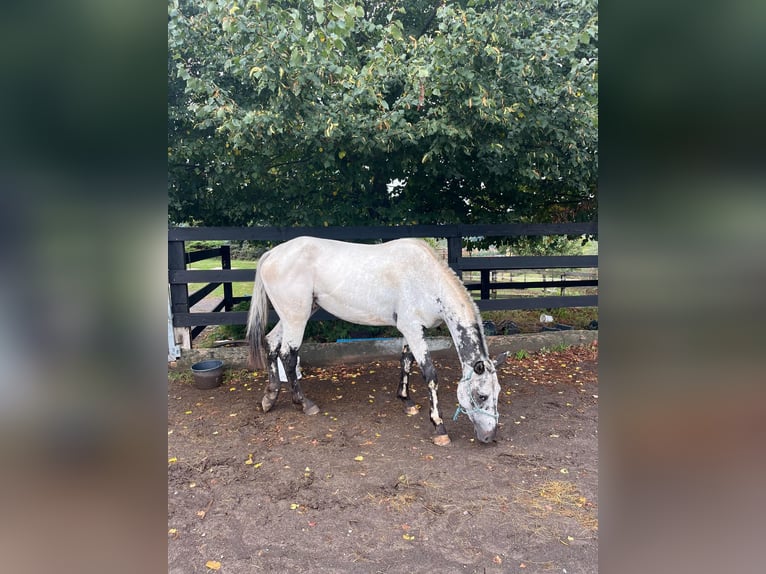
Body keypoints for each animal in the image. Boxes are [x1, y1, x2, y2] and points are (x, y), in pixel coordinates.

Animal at [248, 236, 510, 448]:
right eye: (482, 396)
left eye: (498, 392)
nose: (489, 437)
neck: (426, 278)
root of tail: (273, 254)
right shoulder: (412, 329)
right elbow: (429, 374)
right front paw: (439, 427)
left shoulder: (411, 329)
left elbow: (406, 360)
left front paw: (406, 400)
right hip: (297, 317)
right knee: (288, 354)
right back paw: (304, 404)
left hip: (293, 315)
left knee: (271, 344)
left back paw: (270, 397)